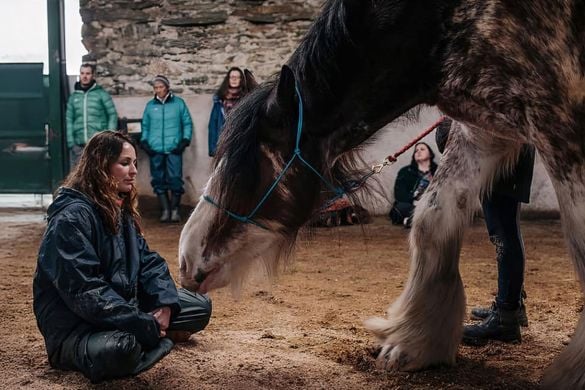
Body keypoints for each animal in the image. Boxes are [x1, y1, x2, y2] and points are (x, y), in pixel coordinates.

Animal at [178, 0, 584, 386]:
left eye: (250, 169)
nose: (185, 259)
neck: (432, 21)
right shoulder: (482, 130)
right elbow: (430, 220)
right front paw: (415, 342)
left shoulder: (559, 120)